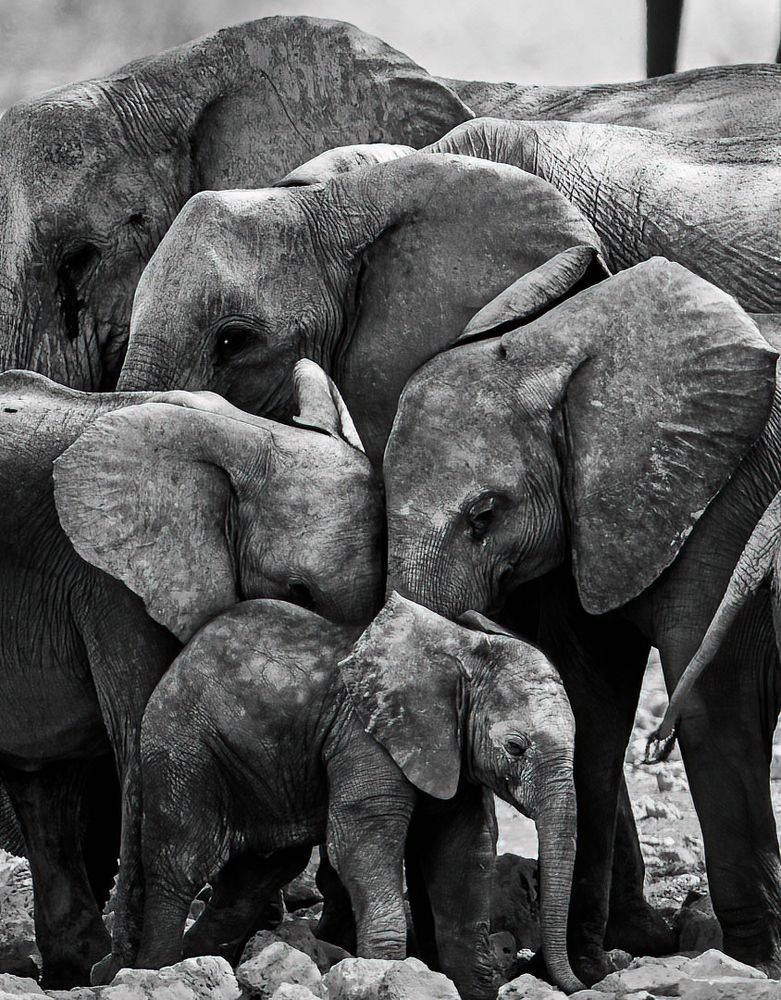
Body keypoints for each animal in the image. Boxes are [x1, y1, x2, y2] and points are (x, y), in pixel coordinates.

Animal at [0, 360, 383, 987]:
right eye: (297, 591)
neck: (248, 433)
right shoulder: (109, 584)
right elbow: (139, 740)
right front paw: (128, 970)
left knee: (40, 782)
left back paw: (73, 967)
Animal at [126, 593, 580, 998]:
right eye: (515, 747)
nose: (579, 984)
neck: (460, 651)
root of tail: (176, 665)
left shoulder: (452, 751)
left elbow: (465, 852)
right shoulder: (363, 737)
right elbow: (361, 842)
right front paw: (385, 976)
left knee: (254, 879)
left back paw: (192, 963)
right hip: (183, 752)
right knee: (181, 865)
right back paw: (156, 973)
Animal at [380, 256, 781, 983]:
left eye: (485, 516)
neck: (560, 352)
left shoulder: (728, 499)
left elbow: (715, 705)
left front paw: (754, 966)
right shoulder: (587, 525)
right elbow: (588, 706)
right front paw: (586, 969)